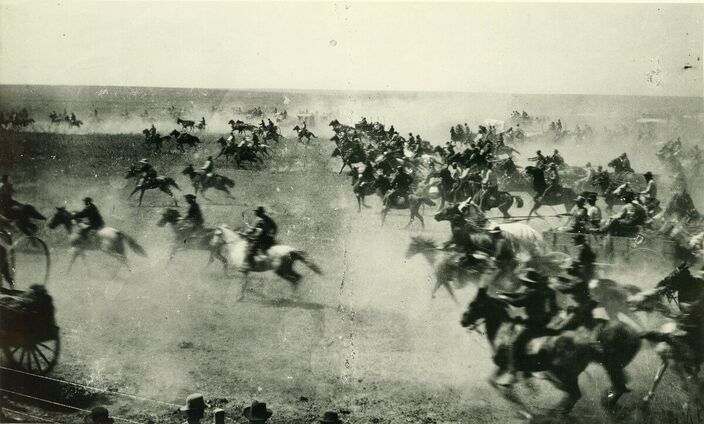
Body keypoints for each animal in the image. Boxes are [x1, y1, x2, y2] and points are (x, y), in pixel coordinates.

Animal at [462, 288, 644, 418]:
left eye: (473, 304)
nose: (462, 320)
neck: (504, 330)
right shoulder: (511, 368)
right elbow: (496, 381)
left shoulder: (508, 366)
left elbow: (501, 385)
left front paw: (522, 406)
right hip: (598, 369)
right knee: (611, 388)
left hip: (569, 374)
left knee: (576, 394)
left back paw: (556, 413)